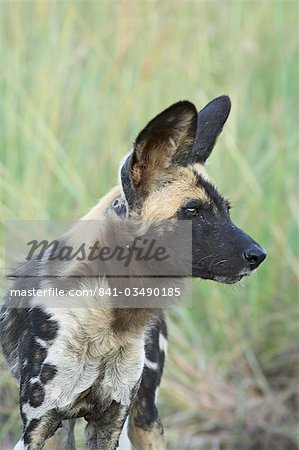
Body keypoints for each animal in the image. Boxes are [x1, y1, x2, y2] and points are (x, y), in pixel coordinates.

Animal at [0, 96, 268, 450]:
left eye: (227, 211)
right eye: (192, 211)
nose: (259, 255)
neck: (108, 321)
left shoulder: (112, 420)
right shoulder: (41, 425)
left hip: (145, 419)